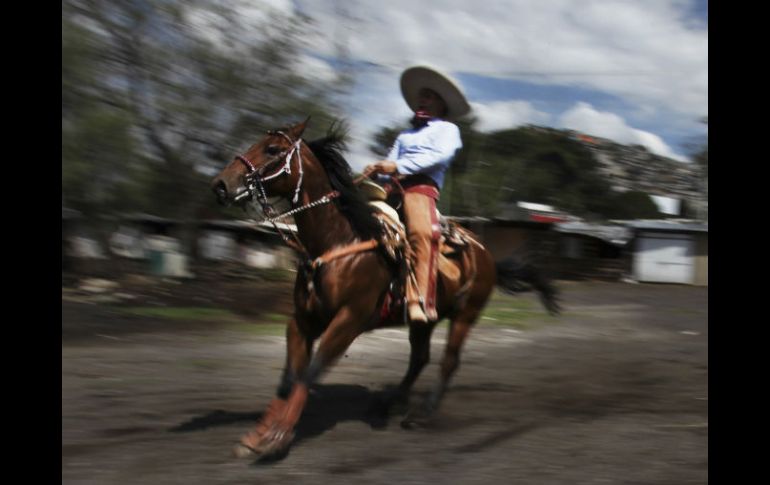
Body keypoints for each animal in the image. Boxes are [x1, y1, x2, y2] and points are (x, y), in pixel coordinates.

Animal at [210, 120, 560, 458]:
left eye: (272, 149)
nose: (221, 184)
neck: (338, 242)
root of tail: (485, 254)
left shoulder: (349, 321)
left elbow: (309, 374)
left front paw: (275, 438)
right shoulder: (302, 321)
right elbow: (288, 379)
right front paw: (258, 434)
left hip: (465, 314)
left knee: (449, 361)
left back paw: (421, 414)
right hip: (425, 319)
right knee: (419, 358)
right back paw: (388, 403)